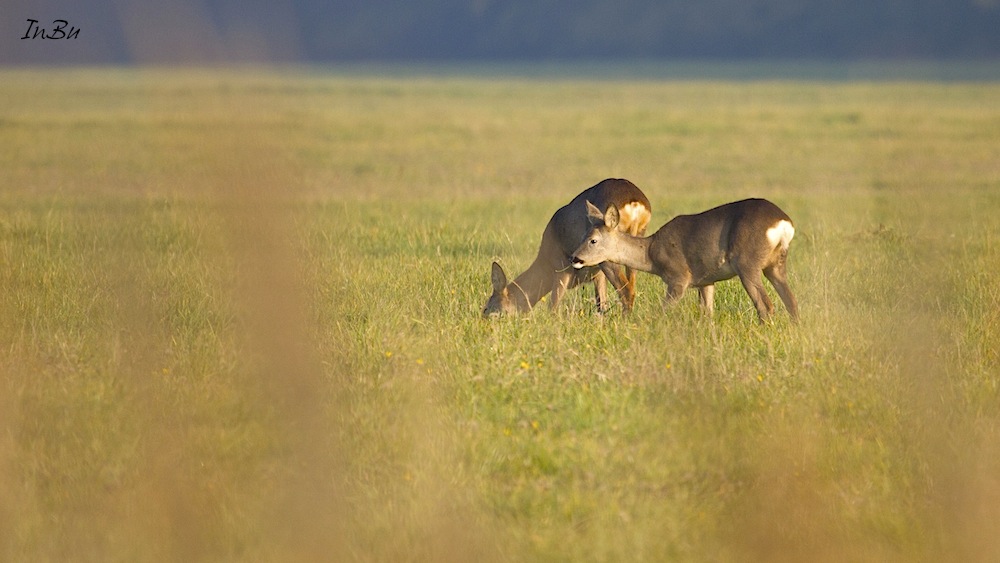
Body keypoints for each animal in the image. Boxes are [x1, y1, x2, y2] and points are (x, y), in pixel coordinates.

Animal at [482, 178, 652, 318]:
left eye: (487, 308)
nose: (484, 320)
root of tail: (634, 201)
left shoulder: (561, 269)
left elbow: (553, 306)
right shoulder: (597, 274)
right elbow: (601, 304)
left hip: (608, 255)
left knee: (626, 291)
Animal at [572, 197, 796, 322]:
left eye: (593, 240)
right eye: (583, 236)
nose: (575, 257)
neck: (651, 252)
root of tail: (784, 223)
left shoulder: (679, 278)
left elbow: (662, 312)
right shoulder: (706, 280)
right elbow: (708, 314)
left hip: (748, 264)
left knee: (766, 307)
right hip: (775, 265)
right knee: (791, 302)